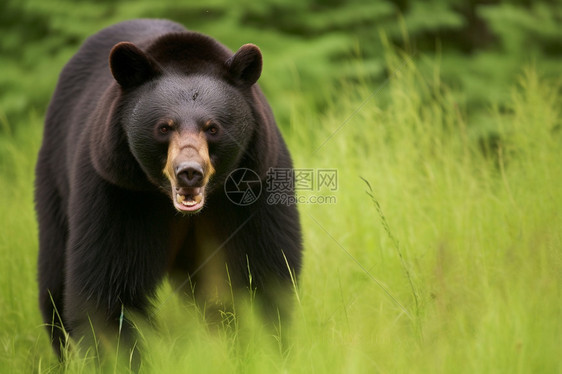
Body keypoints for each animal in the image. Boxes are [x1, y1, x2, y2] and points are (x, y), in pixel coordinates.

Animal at [35, 19, 302, 360]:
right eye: (164, 127)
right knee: (54, 280)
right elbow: (108, 287)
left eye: (212, 127)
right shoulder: (117, 191)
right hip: (55, 180)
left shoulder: (253, 187)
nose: (189, 172)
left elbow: (266, 271)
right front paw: (121, 357)